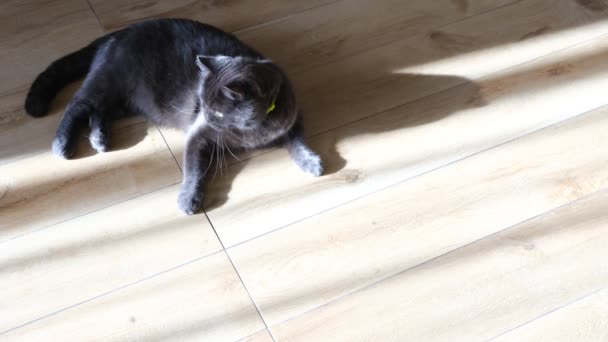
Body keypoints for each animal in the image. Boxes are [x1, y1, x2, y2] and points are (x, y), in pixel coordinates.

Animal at [24, 18, 324, 214]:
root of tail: (118, 33)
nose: (205, 116)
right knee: (78, 105)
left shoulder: (293, 120)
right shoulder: (198, 136)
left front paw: (311, 162)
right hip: (107, 83)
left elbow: (298, 142)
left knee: (99, 114)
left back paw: (99, 139)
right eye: (202, 104)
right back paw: (62, 144)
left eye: (216, 109)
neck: (255, 129)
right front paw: (188, 199)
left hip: (126, 100)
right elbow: (194, 169)